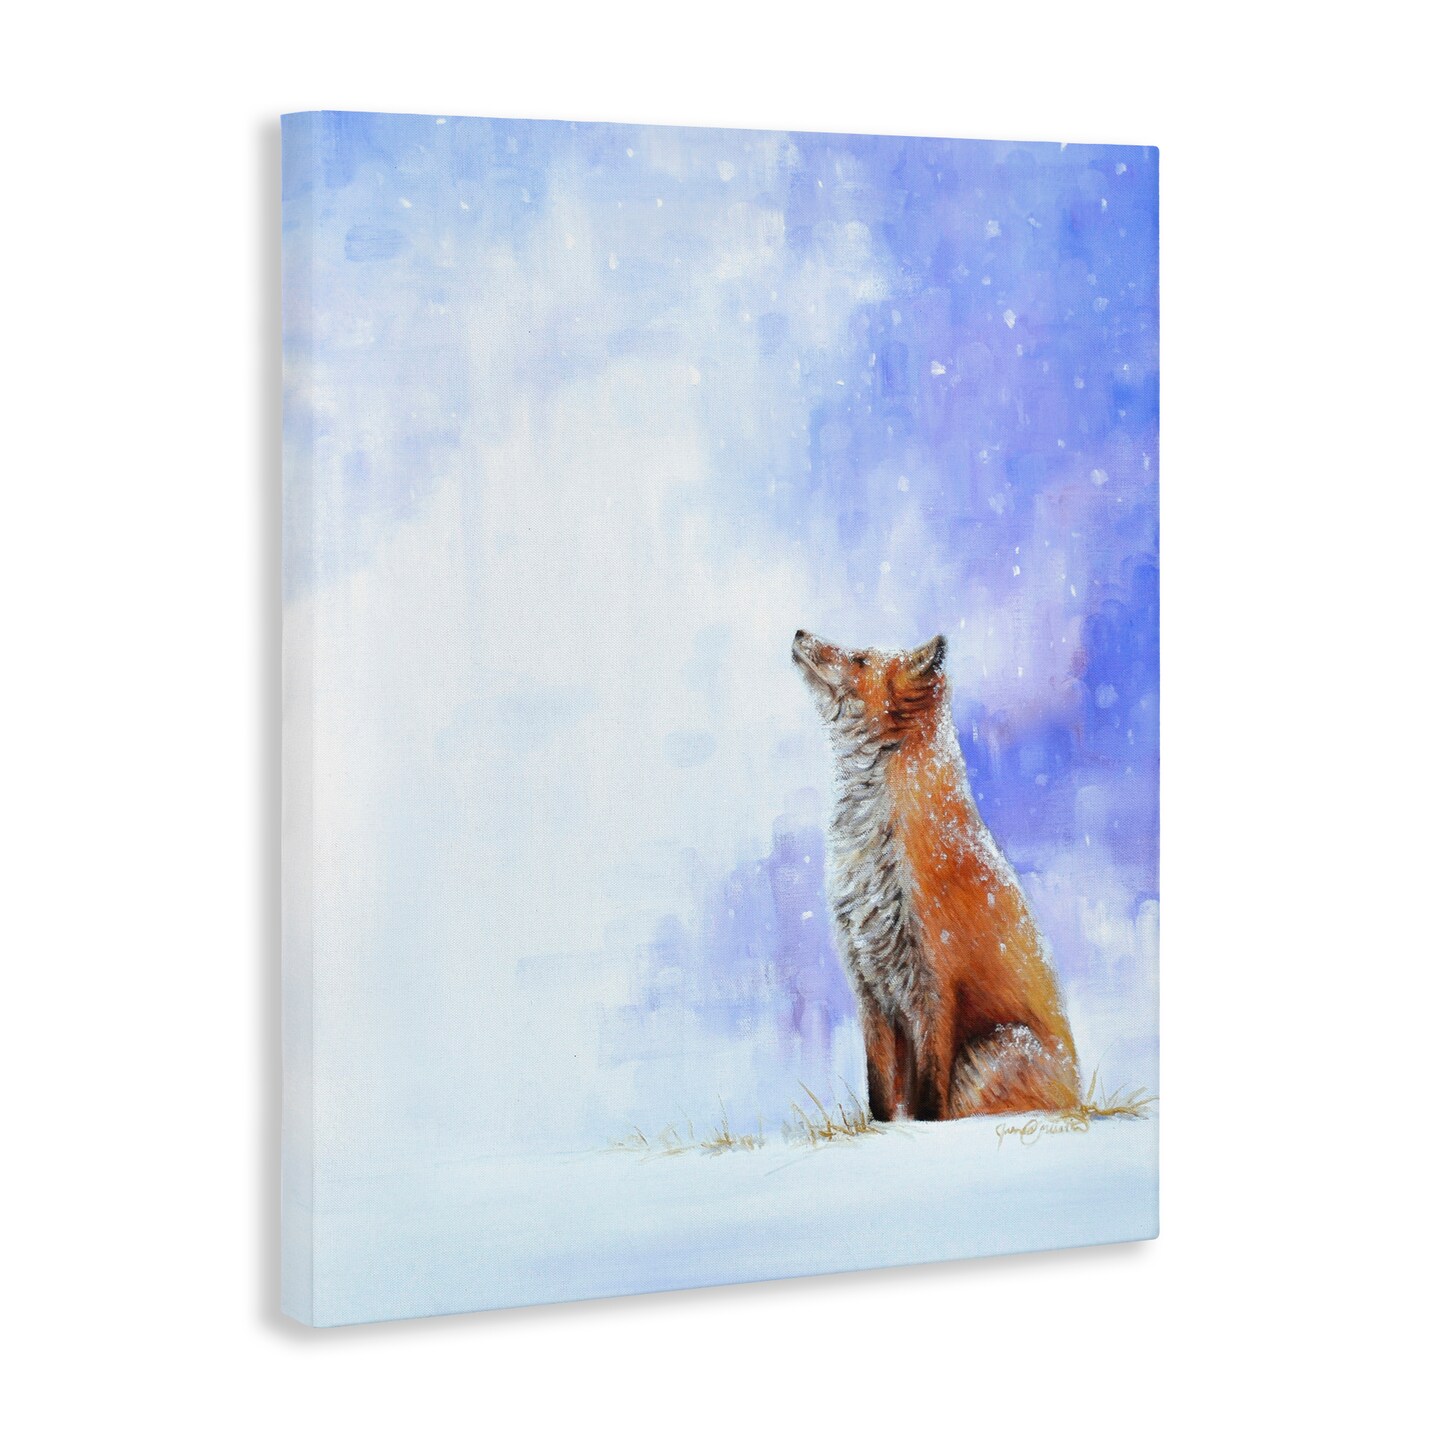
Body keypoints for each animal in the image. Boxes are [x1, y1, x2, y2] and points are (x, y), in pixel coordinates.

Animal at [792, 629, 1080, 1121]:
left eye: (859, 659)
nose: (798, 633)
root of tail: (1083, 1099)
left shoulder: (934, 985)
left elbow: (929, 1098)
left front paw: (924, 1133)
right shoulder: (871, 988)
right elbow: (879, 1093)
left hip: (990, 1051)